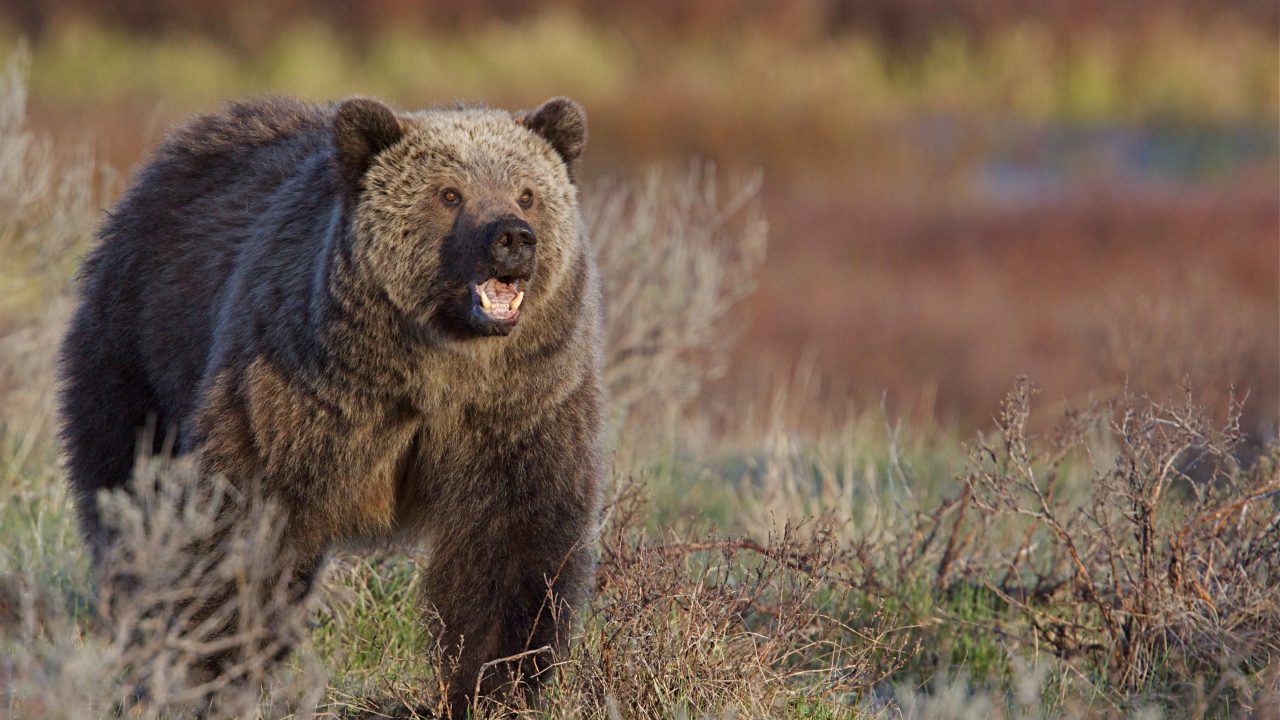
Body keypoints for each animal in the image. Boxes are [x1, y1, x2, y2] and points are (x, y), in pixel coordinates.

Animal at [58, 94, 605, 715]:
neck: (431, 370)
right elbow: (244, 523)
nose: (513, 236)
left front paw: (487, 687)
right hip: (139, 353)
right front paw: (208, 667)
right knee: (128, 492)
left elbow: (512, 547)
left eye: (527, 193)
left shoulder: (519, 410)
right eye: (449, 194)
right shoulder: (300, 395)